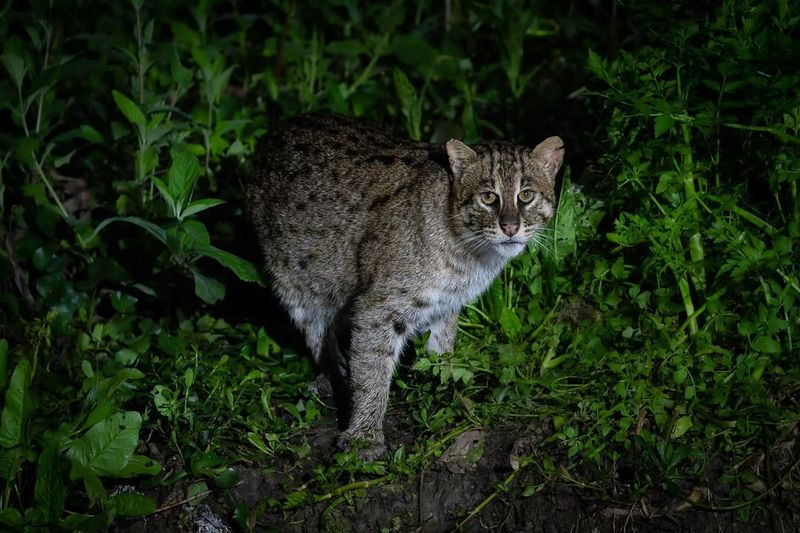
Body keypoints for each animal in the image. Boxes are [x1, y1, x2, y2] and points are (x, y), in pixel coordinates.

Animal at [244, 114, 564, 460]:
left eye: (526, 195)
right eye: (489, 197)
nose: (510, 227)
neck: (469, 254)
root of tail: (278, 129)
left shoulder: (446, 305)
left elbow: (442, 350)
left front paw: (446, 390)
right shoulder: (378, 310)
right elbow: (372, 372)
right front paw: (364, 435)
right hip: (295, 280)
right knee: (316, 329)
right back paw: (332, 373)